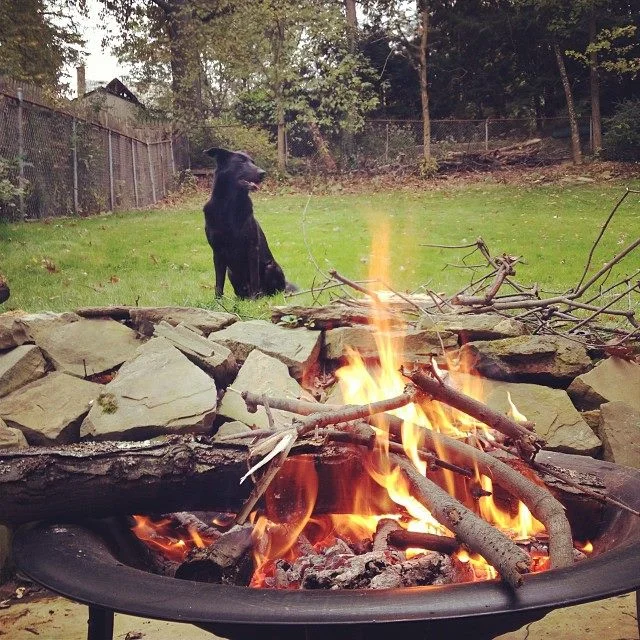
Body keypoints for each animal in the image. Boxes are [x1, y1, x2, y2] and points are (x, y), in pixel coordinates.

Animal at [203, 148, 293, 299]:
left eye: (253, 162)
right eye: (241, 162)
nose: (263, 173)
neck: (230, 206)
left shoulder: (252, 248)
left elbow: (254, 277)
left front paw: (255, 299)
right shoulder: (217, 252)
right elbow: (218, 282)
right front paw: (217, 301)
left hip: (271, 267)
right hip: (231, 271)